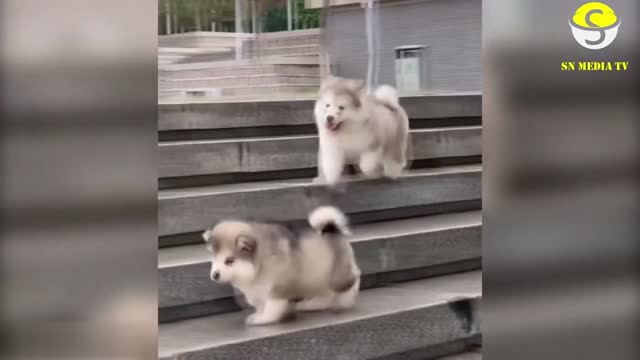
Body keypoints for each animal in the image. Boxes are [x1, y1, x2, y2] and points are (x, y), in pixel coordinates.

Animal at [201, 205, 360, 326]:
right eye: (214, 259)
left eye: (229, 260)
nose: (214, 275)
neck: (260, 263)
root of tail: (332, 230)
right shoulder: (257, 291)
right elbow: (261, 305)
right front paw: (258, 314)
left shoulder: (277, 290)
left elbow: (271, 308)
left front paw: (263, 319)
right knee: (325, 296)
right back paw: (312, 305)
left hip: (337, 276)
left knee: (350, 281)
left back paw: (345, 300)